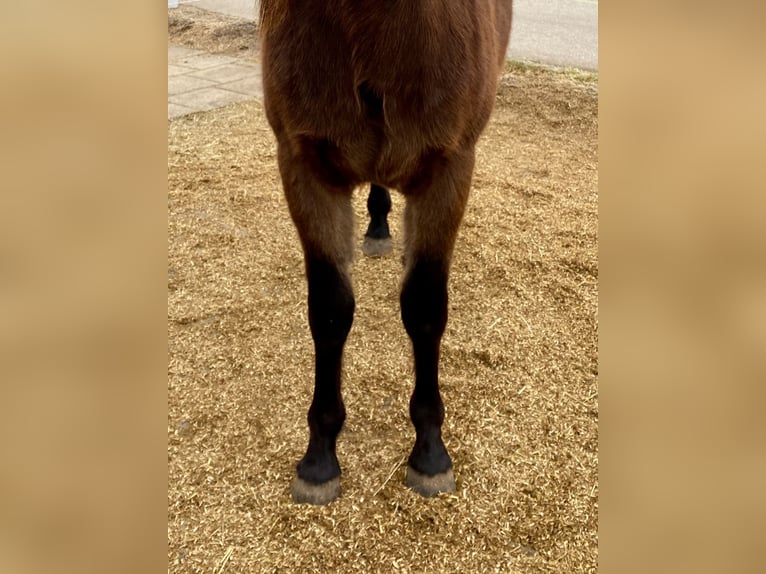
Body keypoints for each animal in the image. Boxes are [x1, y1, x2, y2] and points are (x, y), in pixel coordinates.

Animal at [260, 0, 516, 504]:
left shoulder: (450, 169)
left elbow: (425, 308)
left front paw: (430, 452)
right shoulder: (303, 166)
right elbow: (329, 310)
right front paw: (320, 457)